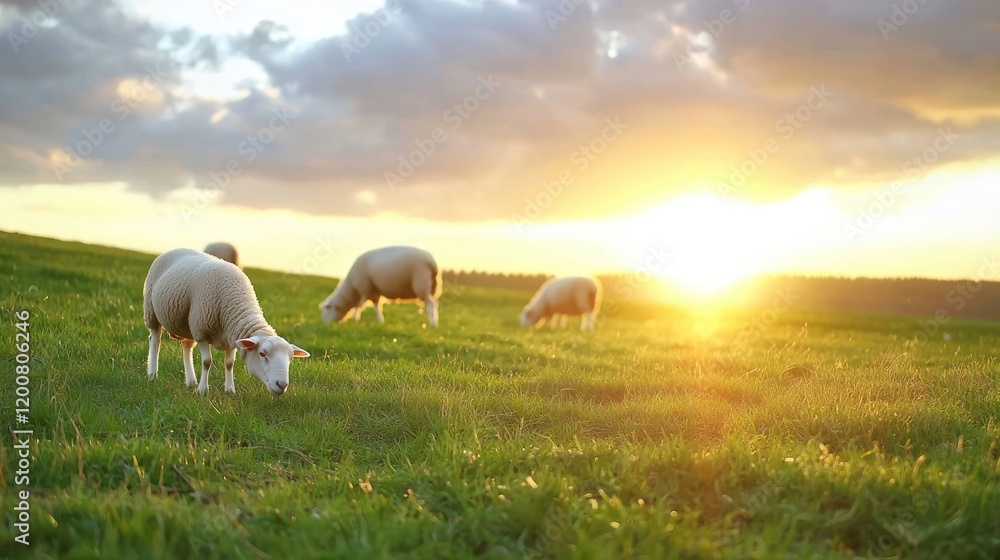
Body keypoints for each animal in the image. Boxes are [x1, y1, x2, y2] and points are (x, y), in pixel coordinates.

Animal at [144, 248, 309, 396]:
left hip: (187, 324)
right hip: (152, 310)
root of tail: (173, 249)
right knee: (155, 340)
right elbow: (207, 361)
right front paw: (203, 391)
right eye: (262, 354)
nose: (282, 385)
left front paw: (230, 391)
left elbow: (229, 364)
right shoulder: (202, 332)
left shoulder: (231, 337)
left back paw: (191, 381)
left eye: (291, 358)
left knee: (187, 347)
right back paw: (152, 375)